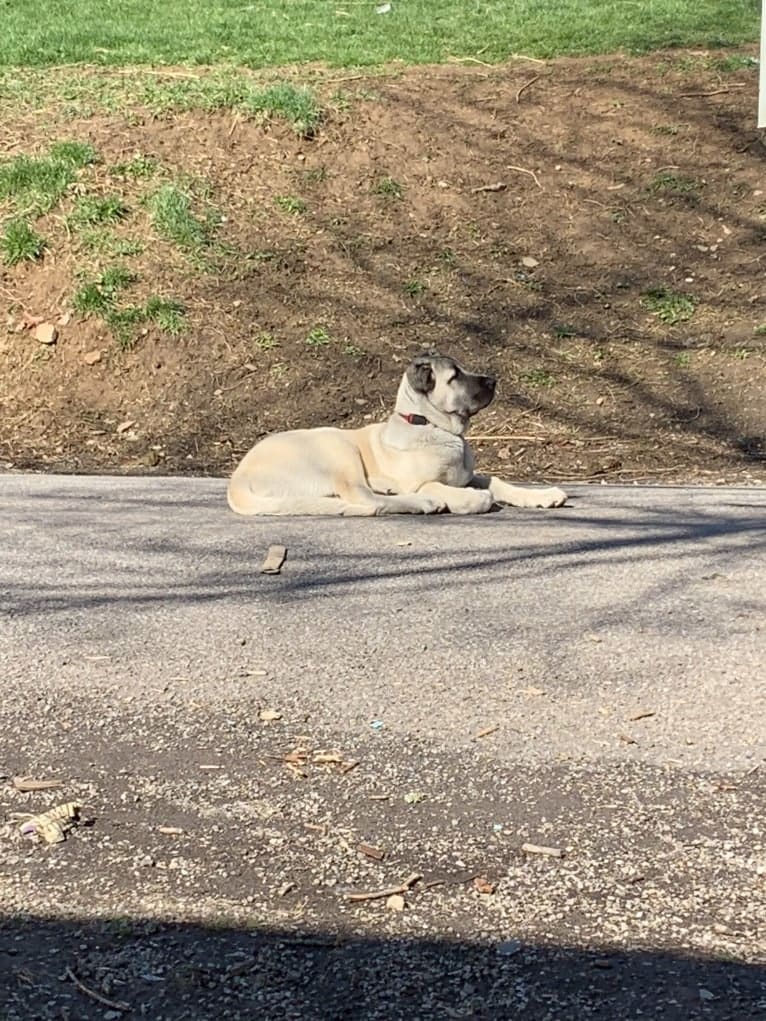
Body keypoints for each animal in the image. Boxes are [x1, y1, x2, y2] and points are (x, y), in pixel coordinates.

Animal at [224, 353, 567, 518]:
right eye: (454, 377)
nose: (494, 381)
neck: (429, 425)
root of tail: (238, 479)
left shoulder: (470, 474)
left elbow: (499, 482)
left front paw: (542, 495)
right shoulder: (421, 481)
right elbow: (450, 488)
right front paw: (472, 499)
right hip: (336, 445)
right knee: (362, 496)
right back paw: (422, 503)